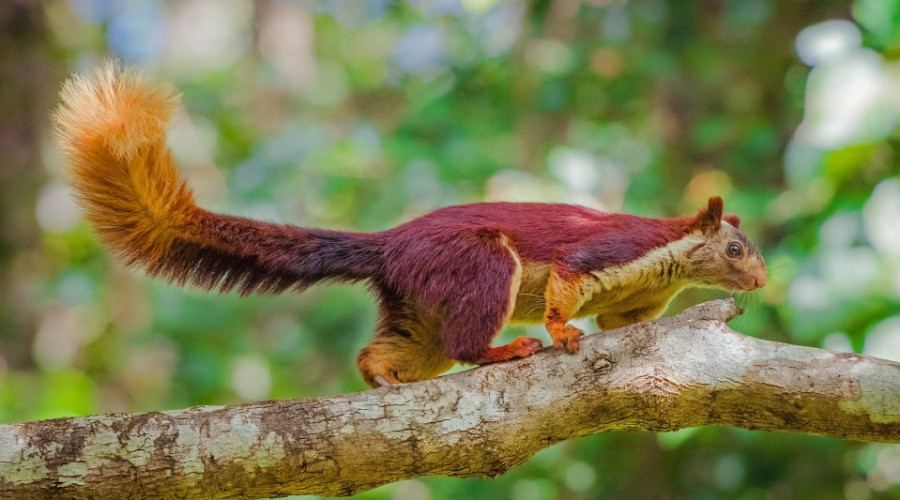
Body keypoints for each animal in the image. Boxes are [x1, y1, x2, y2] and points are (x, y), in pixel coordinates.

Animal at [54, 64, 768, 388]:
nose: (762, 280)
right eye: (736, 248)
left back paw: (381, 376)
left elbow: (624, 323)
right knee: (466, 342)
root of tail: (390, 245)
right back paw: (504, 349)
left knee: (404, 349)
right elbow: (569, 282)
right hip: (476, 264)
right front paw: (564, 331)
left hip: (418, 304)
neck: (670, 261)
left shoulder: (637, 296)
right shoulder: (608, 251)